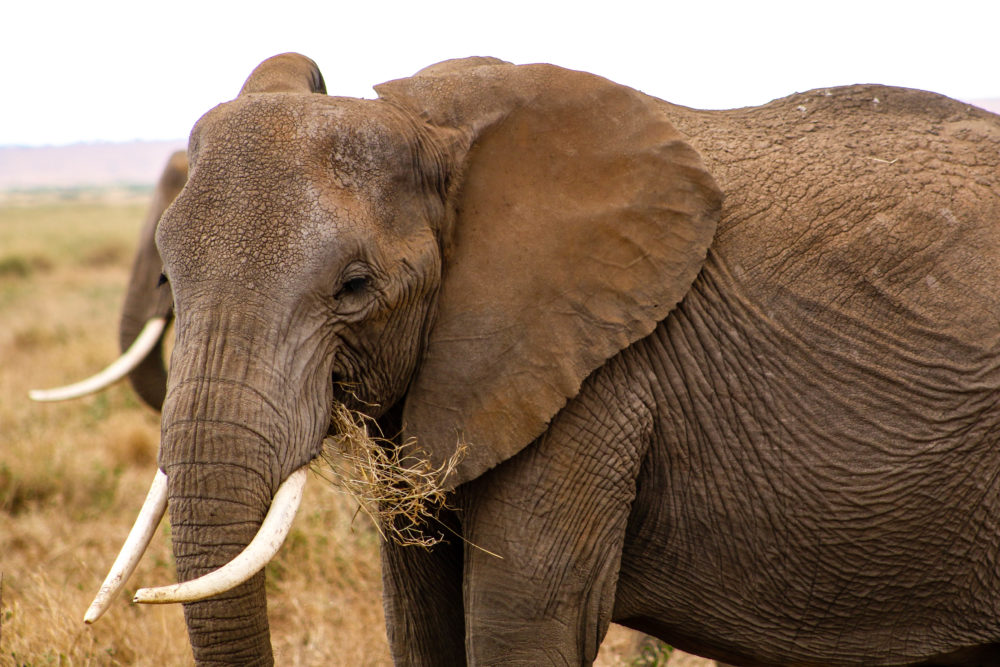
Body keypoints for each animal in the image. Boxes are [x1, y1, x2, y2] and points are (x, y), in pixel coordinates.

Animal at [81, 52, 1000, 665]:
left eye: (354, 287)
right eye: (170, 277)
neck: (434, 127)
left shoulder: (601, 379)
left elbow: (521, 625)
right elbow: (421, 625)